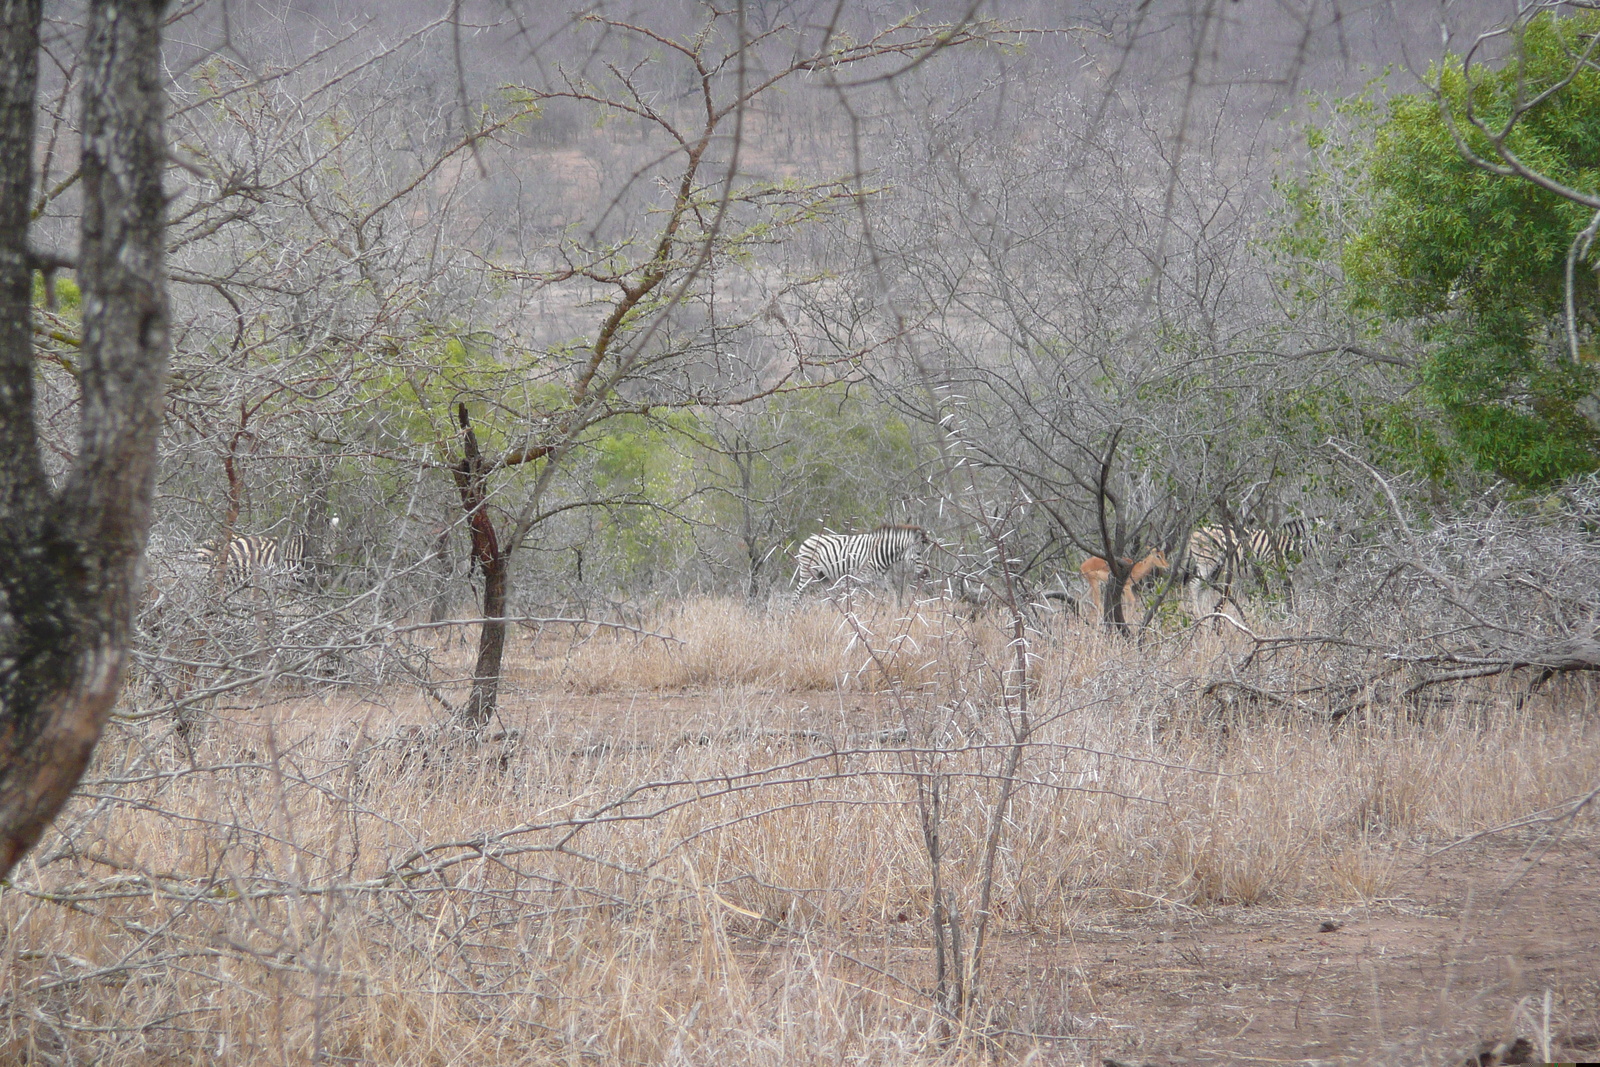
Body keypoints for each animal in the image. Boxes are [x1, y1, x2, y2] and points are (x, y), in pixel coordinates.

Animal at [793, 524, 934, 601]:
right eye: (918, 553)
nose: (927, 573)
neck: (882, 552)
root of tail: (808, 539)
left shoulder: (880, 578)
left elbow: (893, 595)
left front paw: (896, 614)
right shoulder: (862, 579)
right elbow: (861, 598)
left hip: (823, 576)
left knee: (825, 595)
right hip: (807, 572)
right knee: (797, 593)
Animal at [1184, 518, 1318, 617]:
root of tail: (1196, 531)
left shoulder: (1286, 574)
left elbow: (1290, 596)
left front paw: (1293, 616)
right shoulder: (1268, 569)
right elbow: (1269, 595)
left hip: (1215, 568)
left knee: (1202, 588)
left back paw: (1204, 613)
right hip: (1207, 562)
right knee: (1193, 585)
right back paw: (1198, 614)